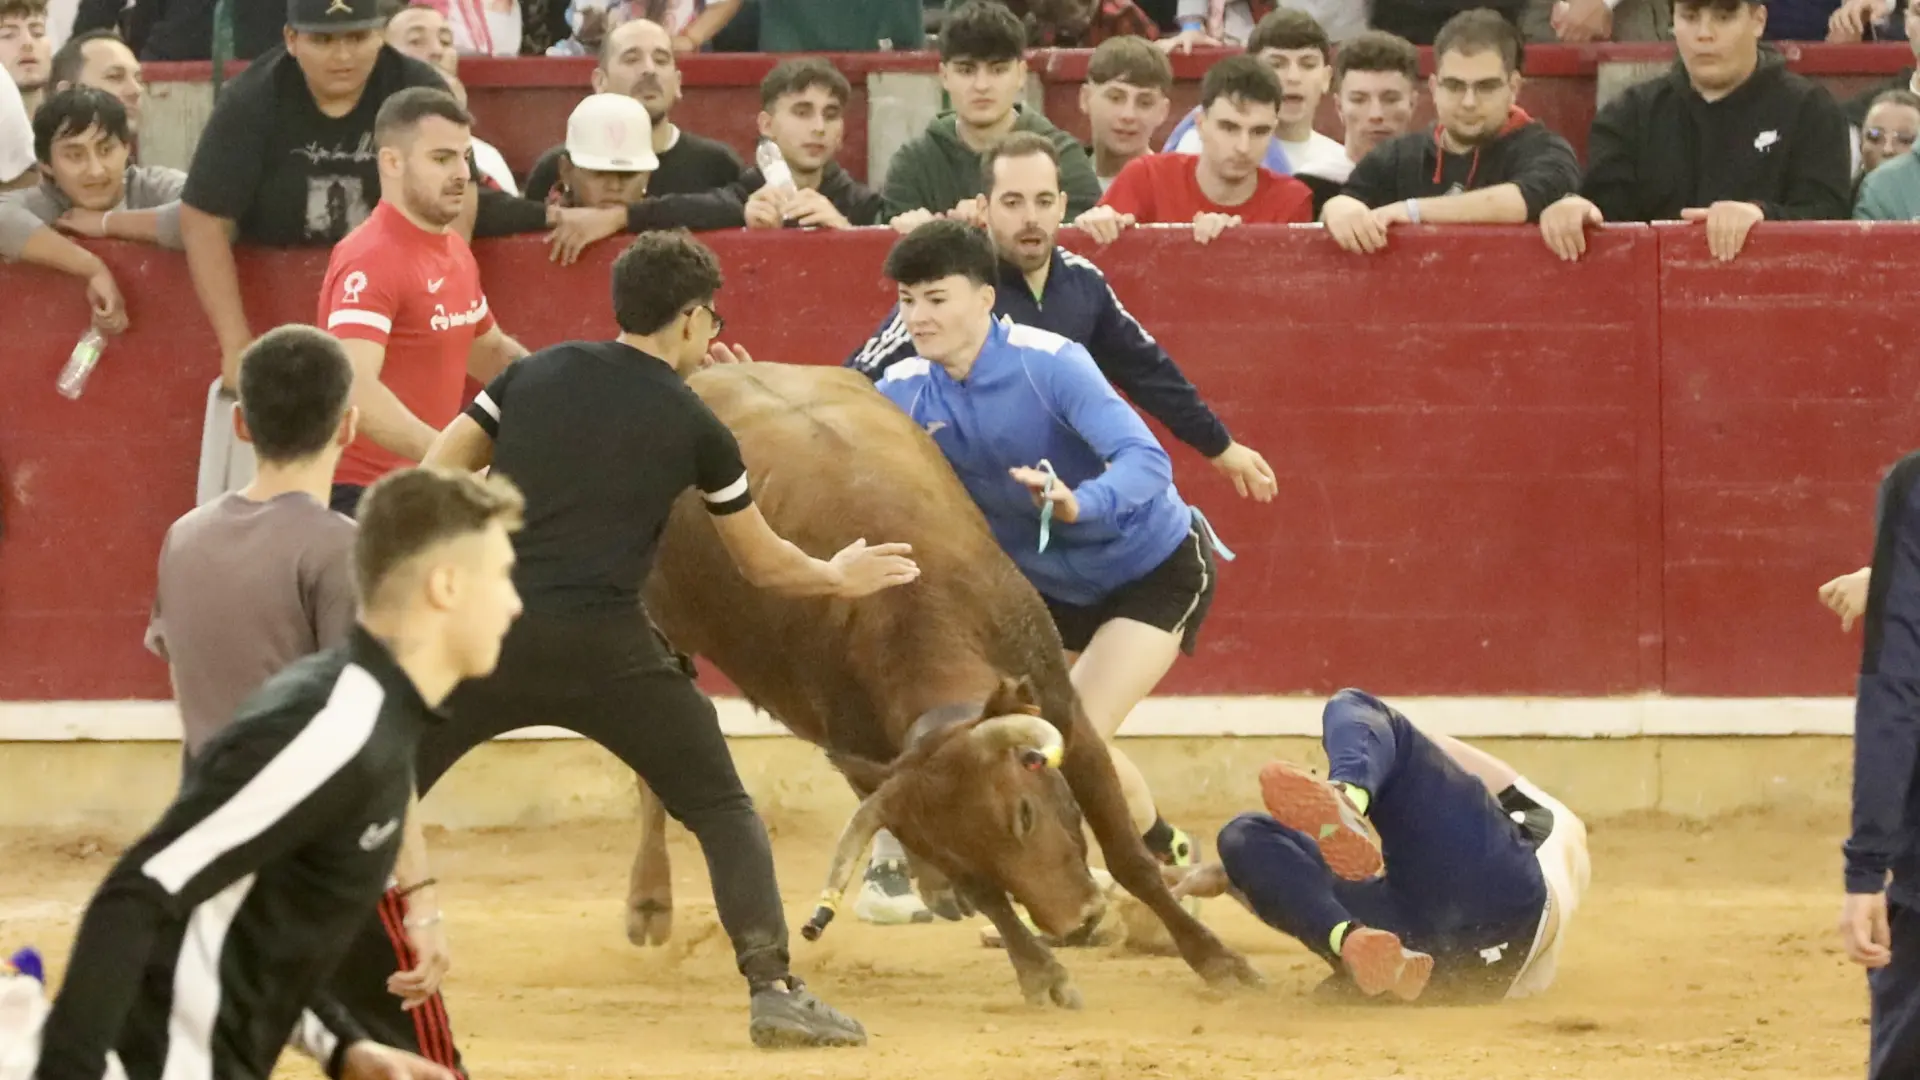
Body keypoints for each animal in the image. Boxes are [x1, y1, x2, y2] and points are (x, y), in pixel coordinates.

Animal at [633, 361, 1259, 999]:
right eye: (965, 845)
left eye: (1025, 814)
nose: (1076, 919)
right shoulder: (869, 768)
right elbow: (981, 888)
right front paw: (1041, 972)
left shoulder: (1063, 710)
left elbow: (1126, 854)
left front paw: (1217, 960)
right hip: (663, 626)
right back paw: (649, 904)